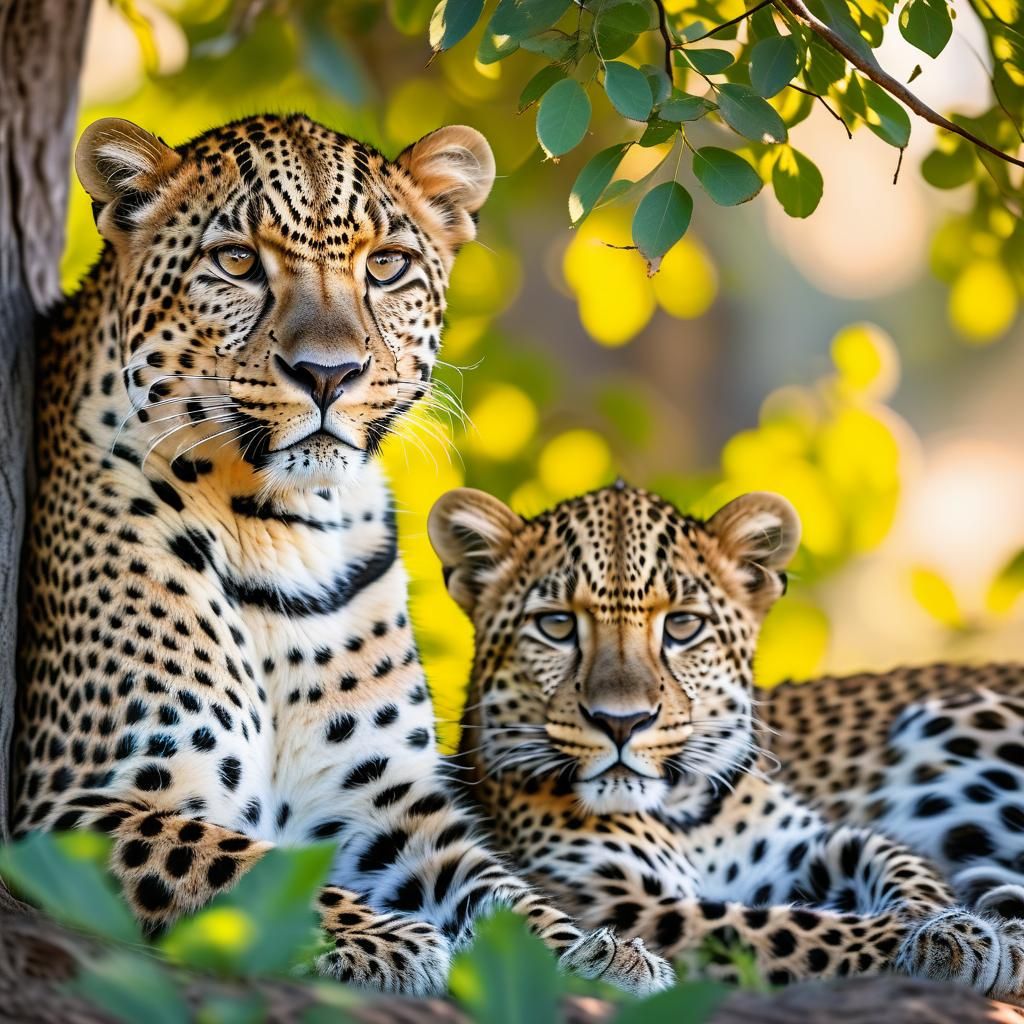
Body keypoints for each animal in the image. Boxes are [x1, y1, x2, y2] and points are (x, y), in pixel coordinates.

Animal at [9, 114, 673, 999]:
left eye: (385, 266)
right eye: (237, 262)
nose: (329, 374)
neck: (281, 526)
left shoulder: (386, 799)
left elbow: (501, 892)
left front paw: (597, 954)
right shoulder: (70, 805)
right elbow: (237, 863)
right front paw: (389, 942)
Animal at [429, 480, 1024, 998]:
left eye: (683, 626)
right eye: (555, 626)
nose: (621, 722)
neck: (683, 809)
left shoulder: (804, 846)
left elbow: (898, 862)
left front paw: (959, 928)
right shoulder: (619, 902)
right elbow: (789, 929)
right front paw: (951, 940)